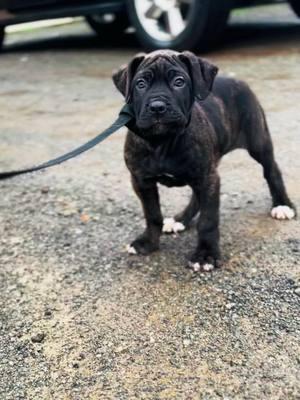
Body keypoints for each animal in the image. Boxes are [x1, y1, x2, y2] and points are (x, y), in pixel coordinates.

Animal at [112, 48, 296, 270]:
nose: (157, 106)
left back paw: (282, 205)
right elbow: (152, 214)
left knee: (271, 170)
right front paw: (148, 242)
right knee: (196, 196)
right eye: (140, 84)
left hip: (258, 142)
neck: (162, 140)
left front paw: (205, 254)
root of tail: (235, 79)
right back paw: (180, 219)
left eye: (179, 82)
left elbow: (208, 219)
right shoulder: (141, 181)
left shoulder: (207, 177)